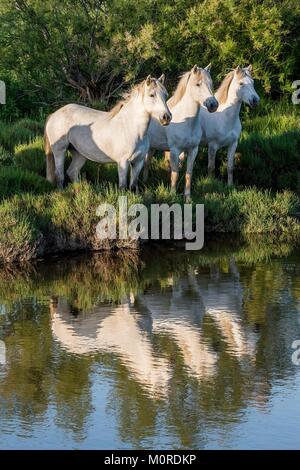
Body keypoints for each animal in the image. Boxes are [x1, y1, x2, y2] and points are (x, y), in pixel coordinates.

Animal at [143, 64, 218, 200]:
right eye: (198, 84)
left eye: (211, 83)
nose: (213, 105)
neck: (187, 121)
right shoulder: (175, 150)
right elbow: (175, 174)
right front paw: (172, 195)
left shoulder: (193, 150)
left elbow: (188, 174)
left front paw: (187, 198)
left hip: (152, 147)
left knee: (147, 163)